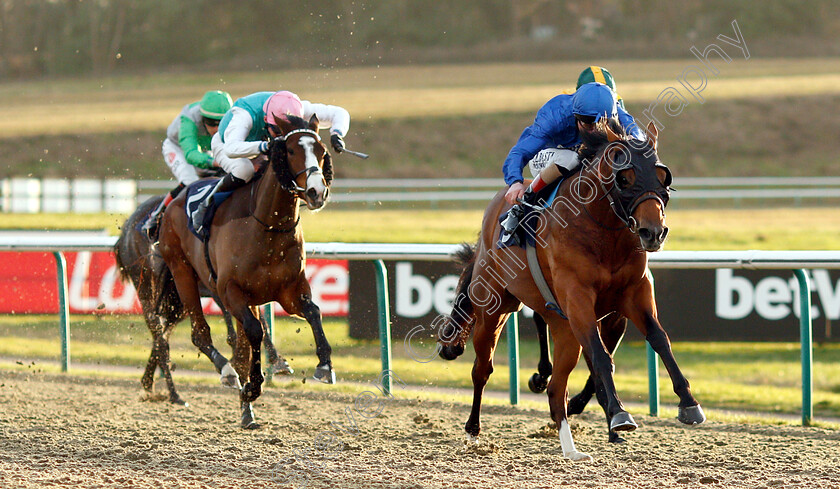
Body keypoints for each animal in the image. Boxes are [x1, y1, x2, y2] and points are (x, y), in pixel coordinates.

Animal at [436, 119, 704, 462]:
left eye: (662, 176)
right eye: (625, 177)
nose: (653, 232)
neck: (603, 233)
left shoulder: (632, 295)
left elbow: (659, 340)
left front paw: (689, 404)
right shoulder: (578, 297)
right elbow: (601, 356)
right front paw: (619, 414)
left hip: (560, 324)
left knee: (555, 384)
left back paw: (566, 435)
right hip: (493, 309)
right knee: (482, 369)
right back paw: (473, 432)